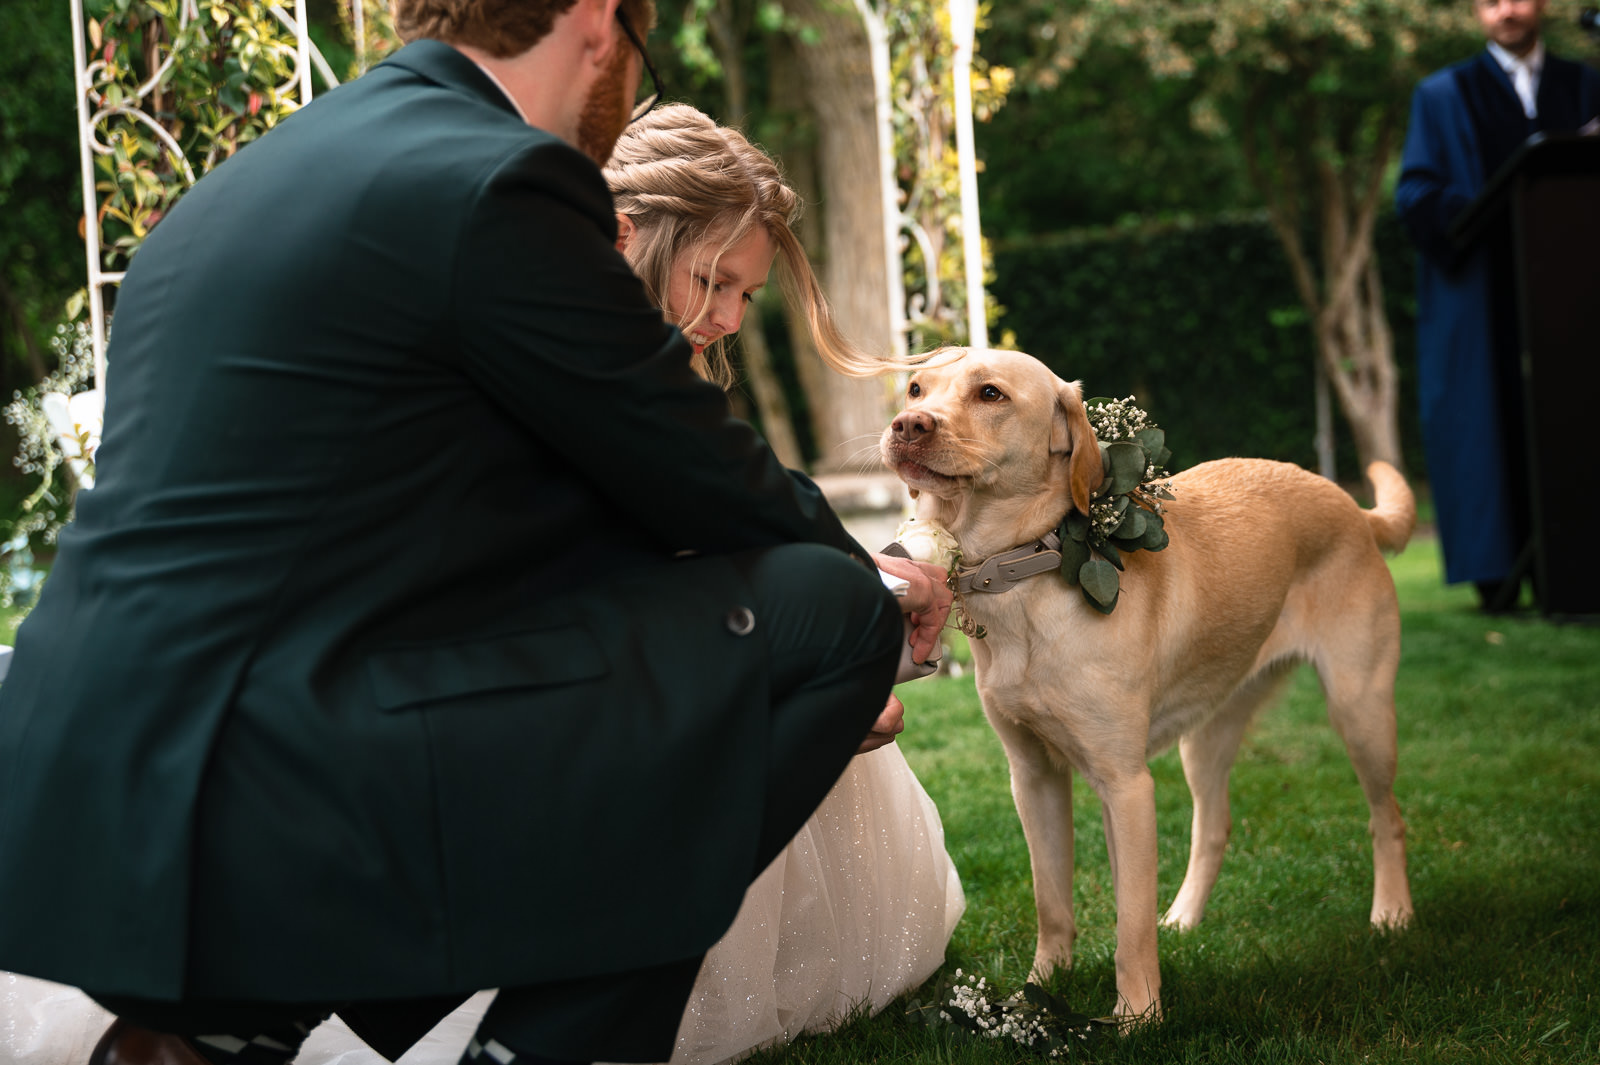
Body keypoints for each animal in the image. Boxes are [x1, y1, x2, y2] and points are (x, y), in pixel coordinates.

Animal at [883, 348, 1420, 1023]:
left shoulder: (1126, 784)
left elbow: (1130, 923)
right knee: (1213, 827)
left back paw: (1392, 914)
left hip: (1360, 710)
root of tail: (1350, 506)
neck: (1027, 575)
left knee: (1387, 817)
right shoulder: (1034, 778)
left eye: (990, 394)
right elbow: (1052, 902)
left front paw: (1136, 1019)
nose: (907, 425)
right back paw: (1185, 918)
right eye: (915, 388)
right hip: (1207, 734)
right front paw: (1038, 994)